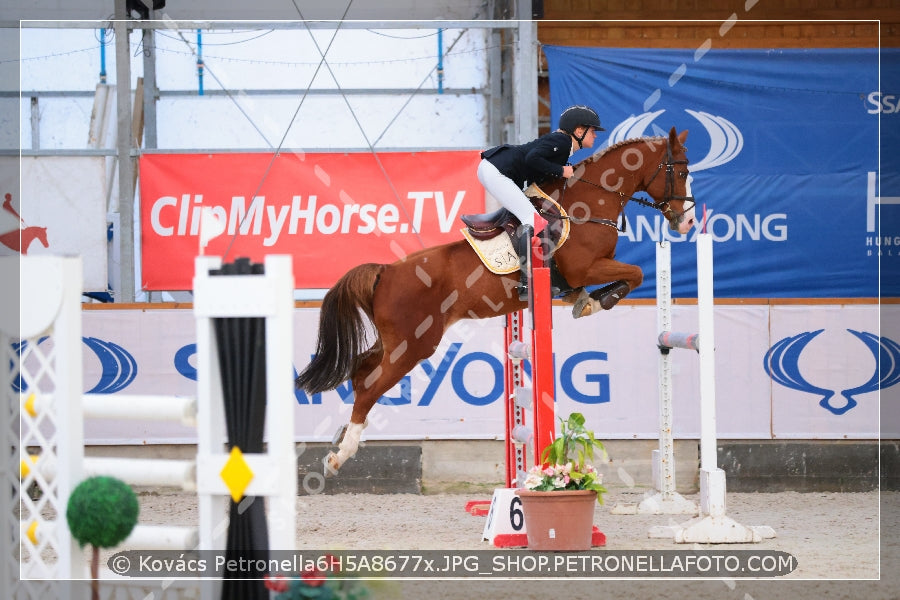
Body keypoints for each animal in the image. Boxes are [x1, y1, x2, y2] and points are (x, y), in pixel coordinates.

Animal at [298, 126, 696, 474]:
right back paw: (338, 457)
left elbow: (630, 275)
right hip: (413, 346)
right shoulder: (586, 267)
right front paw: (597, 301)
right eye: (681, 170)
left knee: (361, 371)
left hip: (393, 342)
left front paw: (587, 300)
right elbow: (635, 274)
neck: (592, 200)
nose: (687, 222)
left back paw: (342, 436)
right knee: (369, 388)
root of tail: (386, 271)